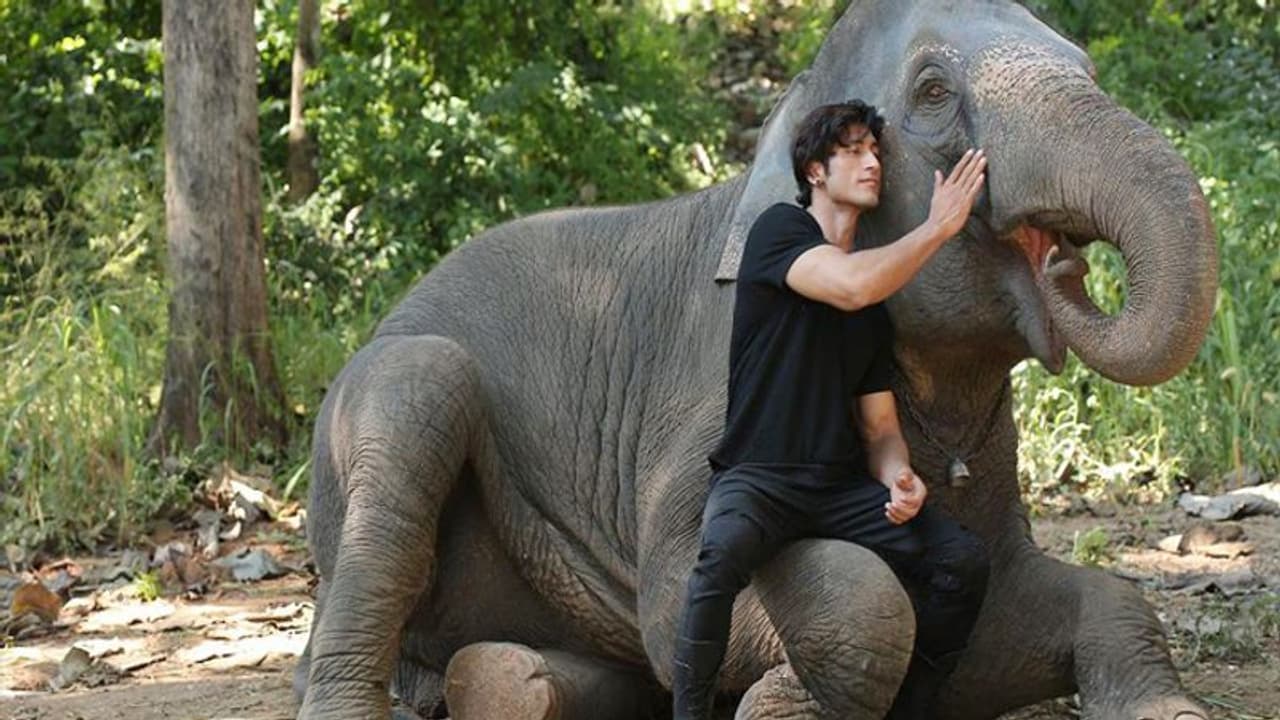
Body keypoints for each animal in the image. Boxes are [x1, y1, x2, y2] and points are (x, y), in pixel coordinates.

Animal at [294, 1, 1218, 719]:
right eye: (932, 91)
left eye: (1087, 66)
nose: (1064, 264)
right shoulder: (709, 398)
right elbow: (751, 601)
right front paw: (780, 702)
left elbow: (1062, 600)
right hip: (375, 408)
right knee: (420, 396)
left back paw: (512, 683)